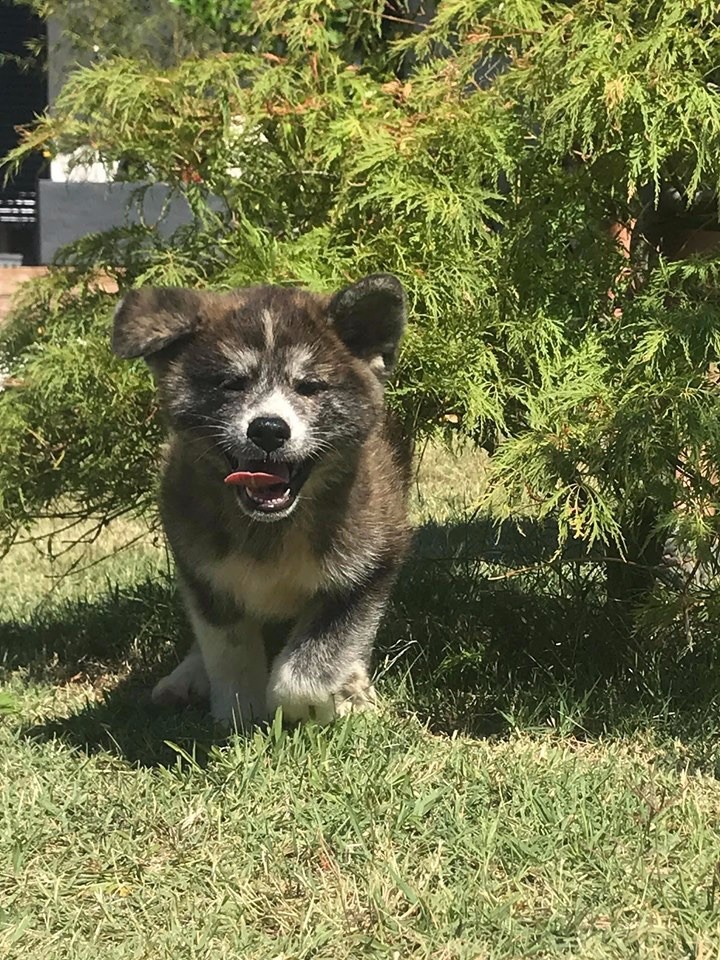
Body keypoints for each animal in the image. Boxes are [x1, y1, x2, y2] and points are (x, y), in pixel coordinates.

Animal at [112, 278, 410, 728]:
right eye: (232, 383)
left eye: (309, 386)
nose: (269, 429)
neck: (272, 528)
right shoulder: (201, 570)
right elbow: (227, 648)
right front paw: (240, 710)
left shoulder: (372, 562)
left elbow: (314, 662)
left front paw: (314, 704)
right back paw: (187, 676)